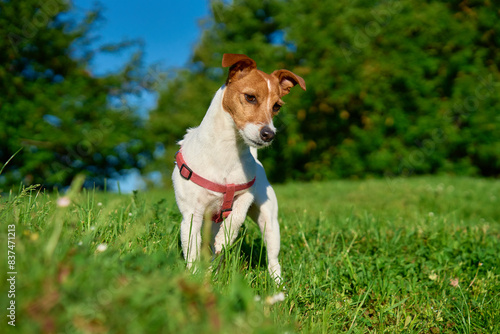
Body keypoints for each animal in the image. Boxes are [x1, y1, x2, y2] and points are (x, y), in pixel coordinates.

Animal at [171, 53, 304, 284]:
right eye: (250, 97)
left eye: (276, 106)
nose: (269, 134)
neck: (227, 151)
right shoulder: (191, 216)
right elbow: (192, 252)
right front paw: (195, 277)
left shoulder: (245, 193)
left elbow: (236, 217)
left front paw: (225, 238)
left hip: (269, 222)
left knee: (273, 259)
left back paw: (278, 285)